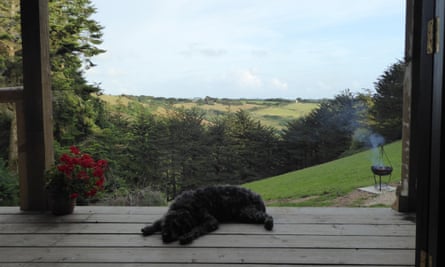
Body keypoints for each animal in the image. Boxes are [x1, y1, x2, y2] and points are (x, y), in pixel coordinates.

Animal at [140, 186, 272, 245]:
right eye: (165, 225)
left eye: (176, 225)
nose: (165, 236)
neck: (185, 206)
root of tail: (257, 196)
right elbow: (157, 221)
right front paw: (148, 228)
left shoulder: (210, 220)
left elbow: (197, 228)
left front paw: (187, 236)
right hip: (243, 214)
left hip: (248, 212)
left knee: (268, 216)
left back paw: (269, 224)